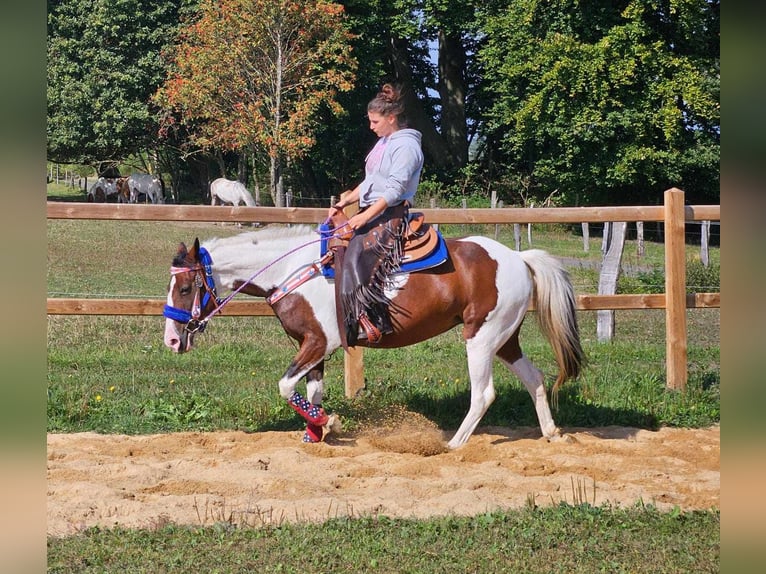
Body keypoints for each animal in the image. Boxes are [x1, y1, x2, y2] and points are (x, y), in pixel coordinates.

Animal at [160, 225, 584, 450]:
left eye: (185, 287)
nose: (172, 341)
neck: (293, 270)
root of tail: (518, 258)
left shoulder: (319, 343)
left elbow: (285, 386)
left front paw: (328, 422)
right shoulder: (315, 349)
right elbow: (311, 391)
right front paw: (315, 433)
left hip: (480, 337)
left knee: (484, 394)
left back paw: (451, 446)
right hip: (505, 338)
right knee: (535, 378)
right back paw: (552, 433)